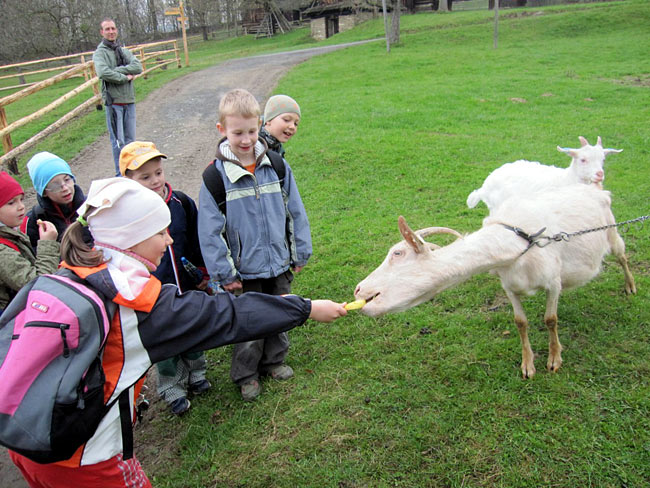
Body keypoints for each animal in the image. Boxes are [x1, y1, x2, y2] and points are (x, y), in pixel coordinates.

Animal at [354, 185, 636, 378]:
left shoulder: (553, 282)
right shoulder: (509, 286)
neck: (518, 242)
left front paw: (554, 359)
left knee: (622, 255)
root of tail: (595, 188)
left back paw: (630, 286)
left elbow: (550, 319)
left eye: (397, 254)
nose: (358, 289)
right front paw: (528, 366)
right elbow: (520, 322)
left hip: (611, 231)